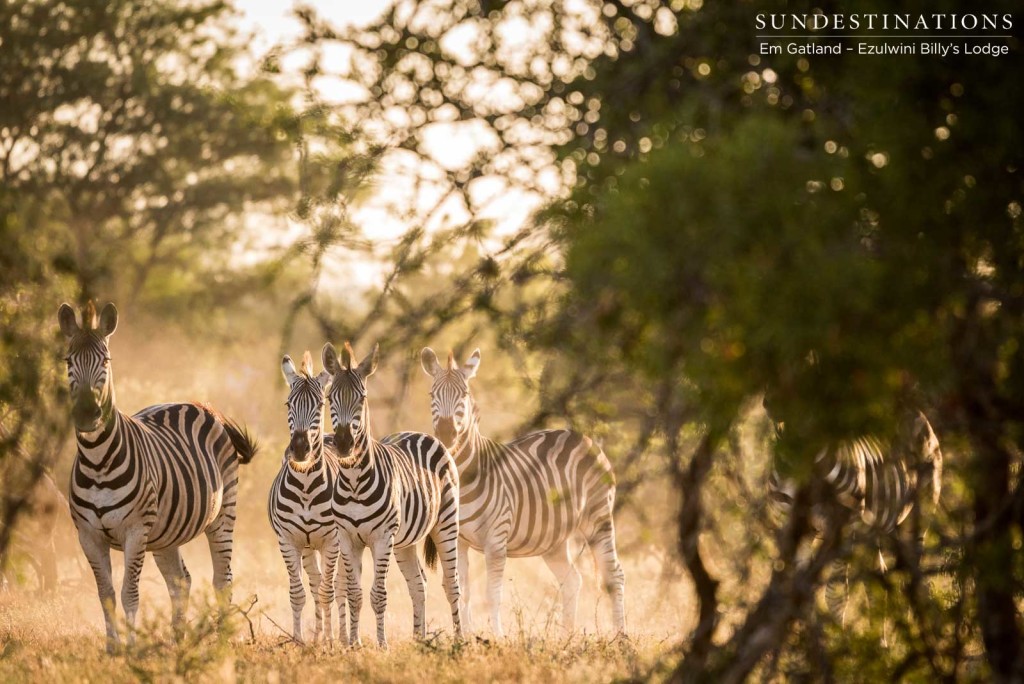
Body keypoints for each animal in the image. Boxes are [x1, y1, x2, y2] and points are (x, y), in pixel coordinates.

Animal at [58, 301, 258, 651]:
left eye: (106, 361)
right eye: (69, 361)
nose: (86, 414)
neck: (97, 461)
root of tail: (200, 405)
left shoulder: (136, 530)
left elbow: (130, 592)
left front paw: (131, 648)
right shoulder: (88, 536)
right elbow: (105, 594)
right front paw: (112, 649)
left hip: (223, 515)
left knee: (222, 580)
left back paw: (220, 642)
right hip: (166, 532)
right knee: (181, 581)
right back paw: (179, 639)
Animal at [321, 342, 462, 647]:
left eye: (361, 398)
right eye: (329, 398)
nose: (343, 444)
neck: (353, 481)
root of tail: (419, 433)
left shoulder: (382, 537)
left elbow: (378, 594)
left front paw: (382, 645)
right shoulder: (347, 538)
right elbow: (355, 593)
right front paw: (354, 644)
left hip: (445, 524)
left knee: (452, 584)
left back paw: (460, 639)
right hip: (405, 542)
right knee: (419, 583)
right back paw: (420, 640)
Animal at [419, 348, 626, 634]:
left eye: (464, 395)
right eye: (431, 395)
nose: (446, 434)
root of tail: (585, 439)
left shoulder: (496, 540)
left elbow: (492, 594)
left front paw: (496, 637)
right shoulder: (459, 540)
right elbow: (464, 591)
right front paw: (467, 637)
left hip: (598, 518)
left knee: (614, 576)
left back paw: (621, 637)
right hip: (553, 538)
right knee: (572, 580)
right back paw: (567, 636)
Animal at [770, 405, 942, 626]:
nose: (770, 407)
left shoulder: (843, 526)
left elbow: (835, 595)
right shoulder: (793, 525)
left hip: (920, 512)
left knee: (912, 576)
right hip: (875, 530)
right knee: (878, 582)